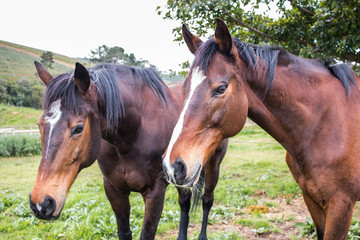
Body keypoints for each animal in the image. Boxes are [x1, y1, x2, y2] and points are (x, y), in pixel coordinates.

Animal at [30, 62, 228, 240]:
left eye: (78, 128)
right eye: (39, 125)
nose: (41, 203)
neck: (133, 133)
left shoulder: (155, 191)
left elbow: (147, 234)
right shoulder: (114, 189)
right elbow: (124, 232)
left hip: (212, 165)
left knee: (207, 200)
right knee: (185, 202)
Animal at [162, 19, 360, 240]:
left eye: (221, 88)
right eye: (183, 88)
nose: (173, 165)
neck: (323, 125)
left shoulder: (341, 206)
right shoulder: (311, 199)